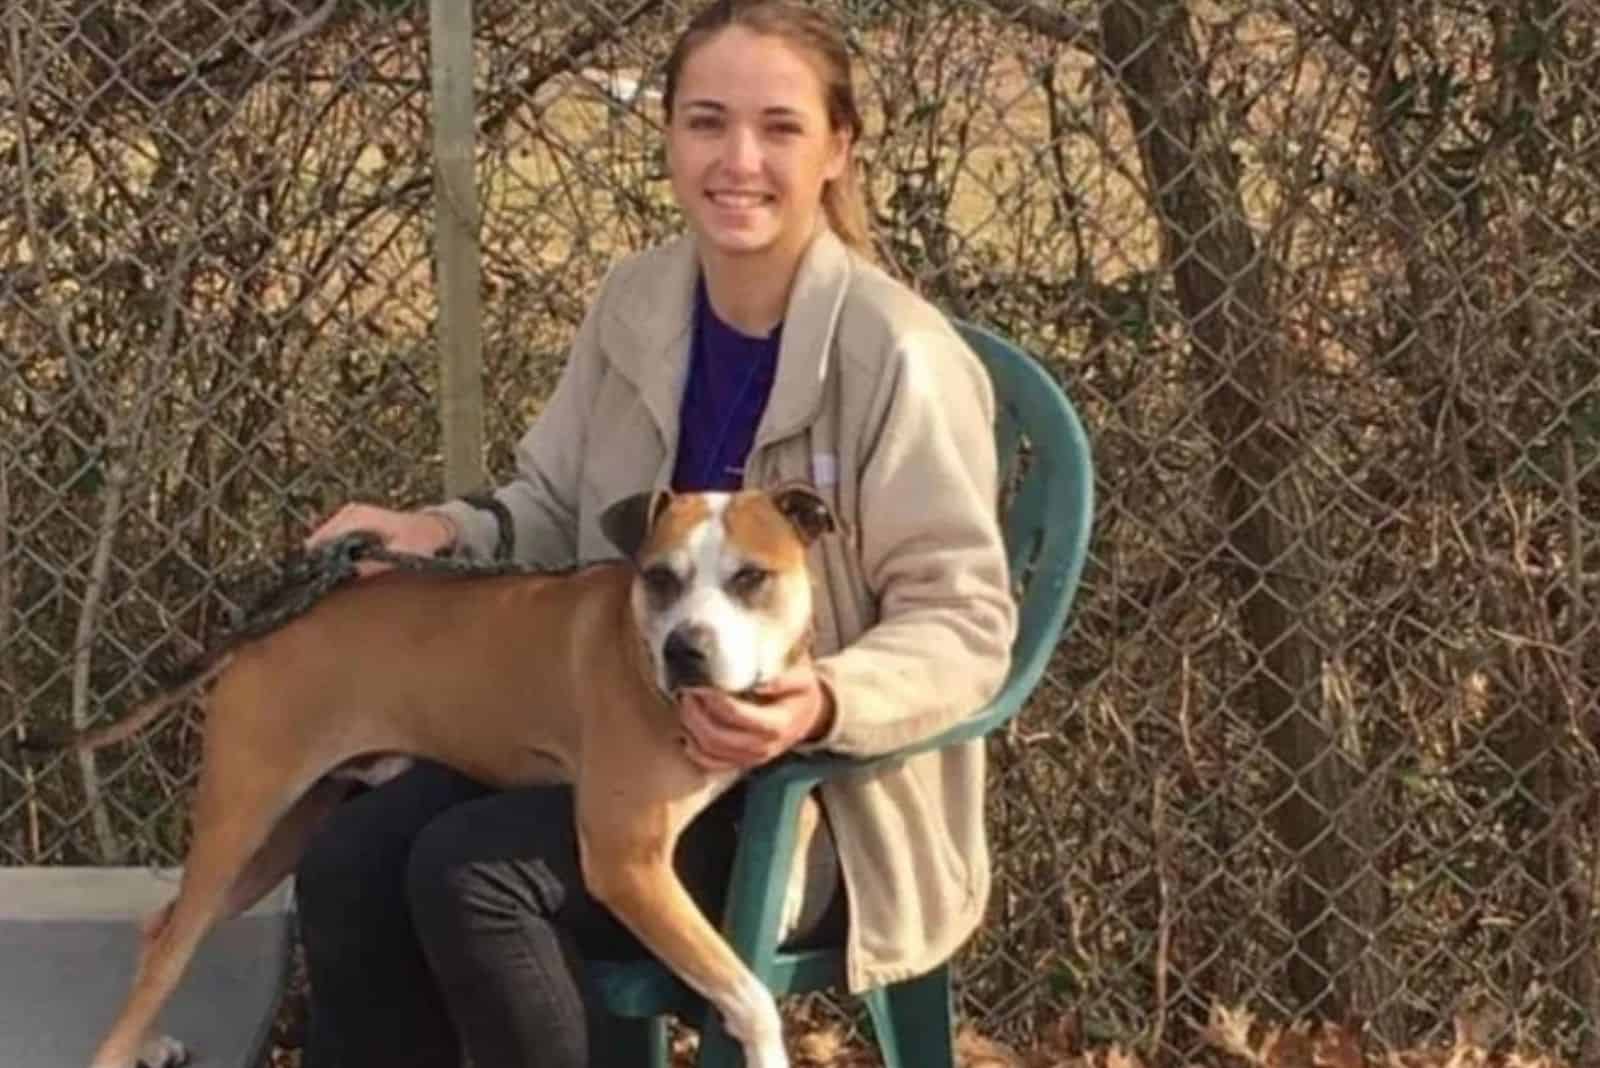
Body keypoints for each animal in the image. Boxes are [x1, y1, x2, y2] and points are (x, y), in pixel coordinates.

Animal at [46, 482, 838, 1068]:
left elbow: (803, 808)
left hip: (275, 843)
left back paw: (150, 1041)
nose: (686, 650)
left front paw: (795, 888)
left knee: (161, 930)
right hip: (238, 821)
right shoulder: (627, 863)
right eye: (660, 578)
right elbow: (747, 993)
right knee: (167, 951)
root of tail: (269, 625)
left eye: (750, 578)